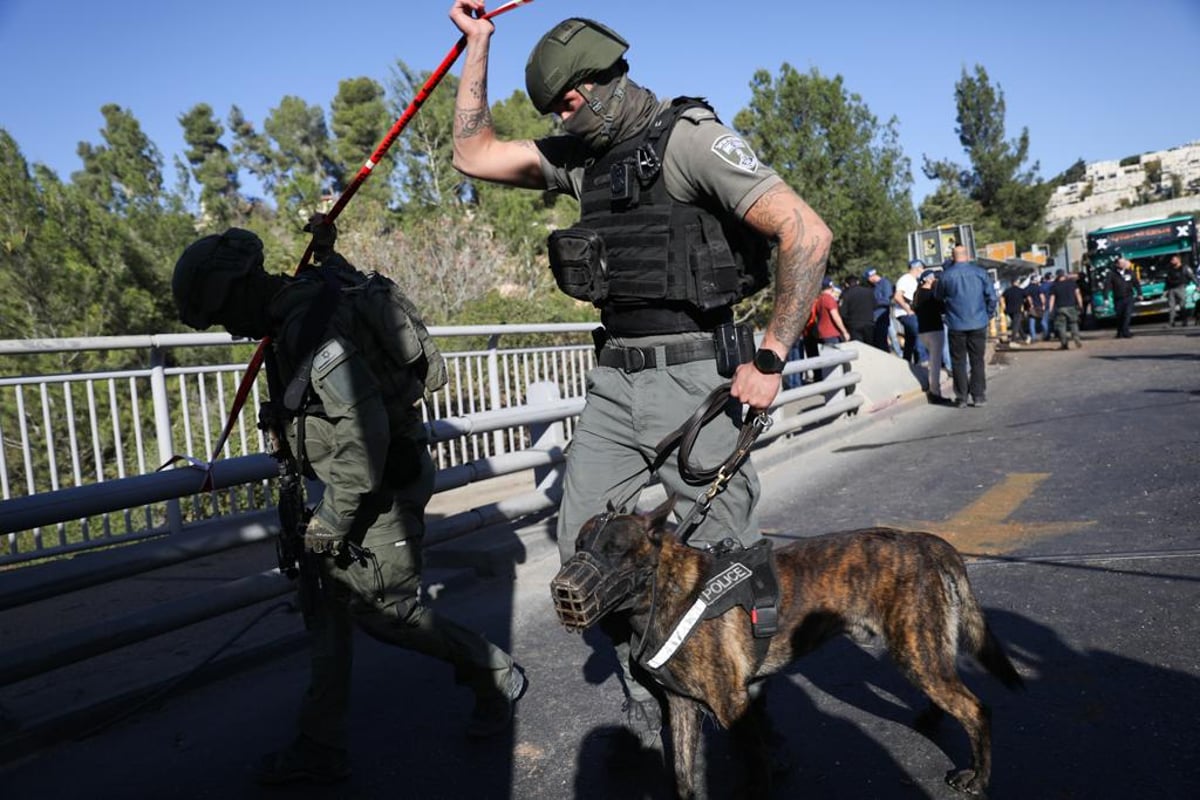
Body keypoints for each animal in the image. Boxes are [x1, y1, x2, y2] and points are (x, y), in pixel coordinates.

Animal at [561, 501, 1022, 800]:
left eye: (615, 551)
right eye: (580, 546)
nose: (565, 589)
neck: (666, 591)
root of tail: (926, 542)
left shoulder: (732, 706)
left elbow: (755, 766)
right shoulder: (682, 707)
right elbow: (683, 777)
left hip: (916, 654)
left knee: (976, 709)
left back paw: (978, 779)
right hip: (920, 652)